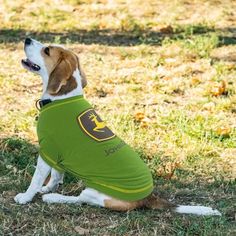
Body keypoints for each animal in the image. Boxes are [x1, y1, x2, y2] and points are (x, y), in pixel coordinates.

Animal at [14, 38, 221, 216]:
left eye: (47, 50)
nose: (27, 39)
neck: (63, 97)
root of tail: (148, 197)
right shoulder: (57, 153)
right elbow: (56, 176)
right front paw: (47, 187)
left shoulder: (47, 150)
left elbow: (36, 179)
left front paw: (26, 197)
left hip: (94, 192)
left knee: (81, 199)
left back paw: (54, 198)